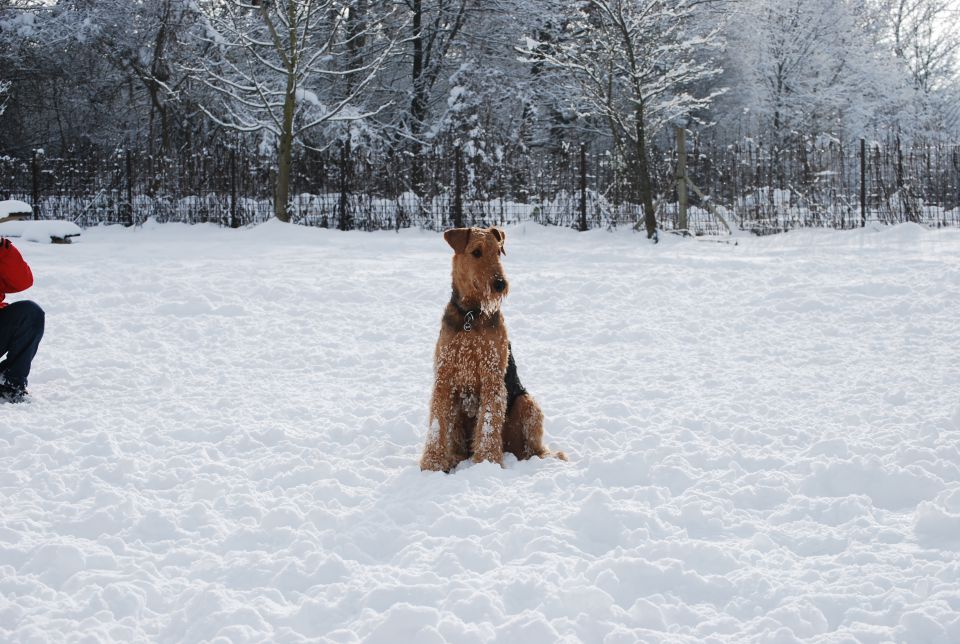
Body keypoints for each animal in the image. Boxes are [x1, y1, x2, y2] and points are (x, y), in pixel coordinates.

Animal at [418, 226, 564, 472]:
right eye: (476, 252)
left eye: (498, 252)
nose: (500, 284)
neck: (471, 315)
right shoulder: (444, 378)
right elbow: (437, 424)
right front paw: (433, 463)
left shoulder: (492, 376)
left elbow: (488, 422)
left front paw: (487, 461)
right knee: (459, 444)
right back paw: (454, 458)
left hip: (527, 403)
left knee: (529, 449)